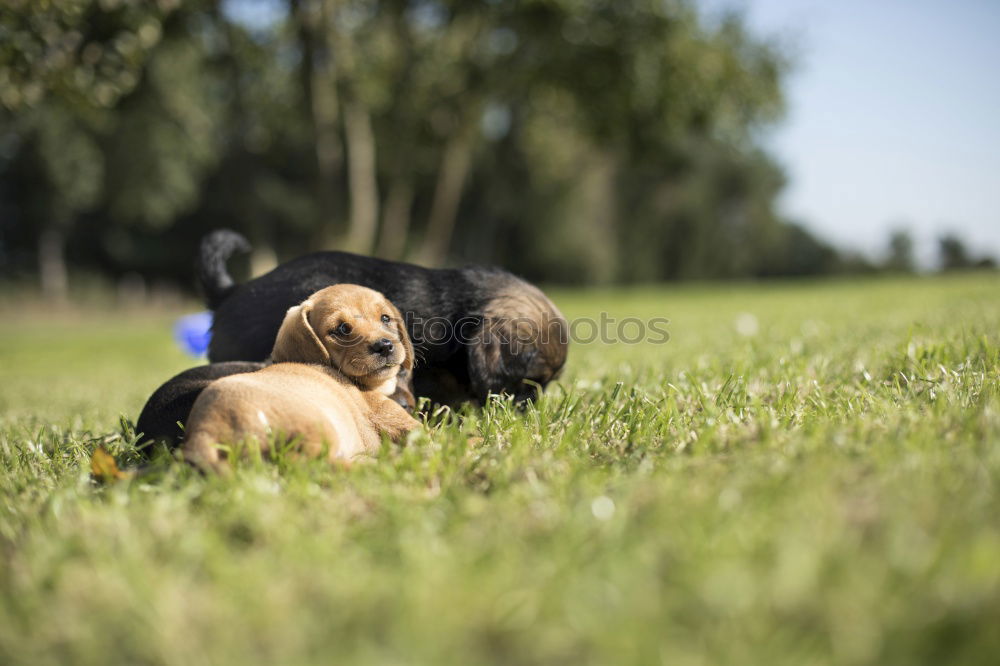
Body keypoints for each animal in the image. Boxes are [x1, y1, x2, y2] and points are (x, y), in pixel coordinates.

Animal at [185, 282, 422, 472]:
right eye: (343, 329)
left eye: (386, 318)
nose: (384, 346)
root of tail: (203, 431)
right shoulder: (402, 422)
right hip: (318, 426)